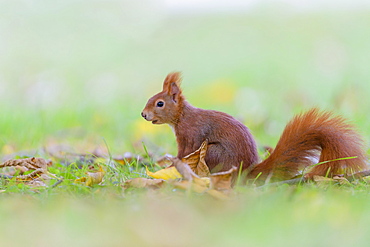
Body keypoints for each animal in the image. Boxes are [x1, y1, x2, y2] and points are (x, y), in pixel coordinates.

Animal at [141, 72, 368, 182]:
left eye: (159, 103)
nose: (143, 114)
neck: (182, 117)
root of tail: (246, 173)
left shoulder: (191, 135)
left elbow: (185, 152)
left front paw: (172, 165)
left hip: (214, 153)